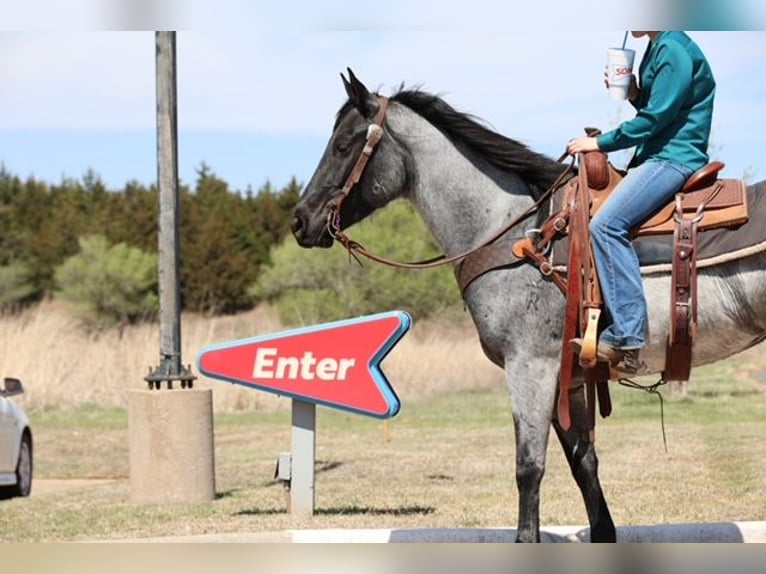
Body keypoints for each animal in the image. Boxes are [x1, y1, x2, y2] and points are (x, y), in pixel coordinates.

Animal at [290, 69, 766, 542]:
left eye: (343, 144)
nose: (300, 220)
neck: (514, 233)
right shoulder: (565, 379)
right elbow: (584, 464)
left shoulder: (529, 367)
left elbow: (529, 468)